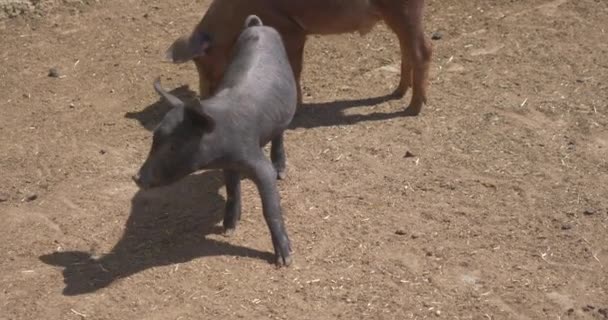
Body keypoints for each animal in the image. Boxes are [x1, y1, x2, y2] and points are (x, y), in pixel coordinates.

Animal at [166, 0, 432, 115]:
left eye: (203, 62)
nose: (203, 99)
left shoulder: (293, 31)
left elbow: (295, 67)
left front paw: (297, 105)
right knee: (406, 49)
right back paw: (397, 93)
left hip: (405, 11)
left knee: (423, 50)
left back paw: (413, 108)